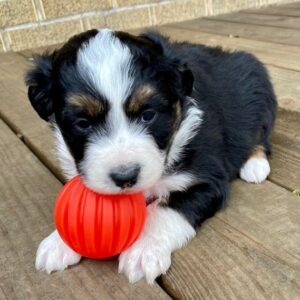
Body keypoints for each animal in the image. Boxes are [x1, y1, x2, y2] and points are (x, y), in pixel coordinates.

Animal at [25, 28, 276, 284]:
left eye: (148, 115)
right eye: (83, 123)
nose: (125, 177)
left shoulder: (207, 180)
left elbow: (165, 209)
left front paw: (143, 250)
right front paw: (59, 242)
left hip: (261, 92)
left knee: (261, 135)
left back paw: (255, 164)